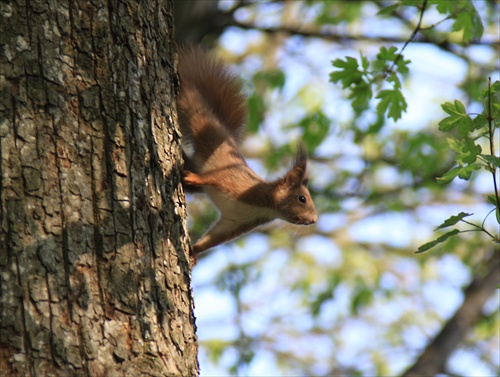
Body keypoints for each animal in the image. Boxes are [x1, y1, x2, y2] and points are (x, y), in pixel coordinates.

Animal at [176, 45, 316, 262]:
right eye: (302, 199)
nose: (314, 220)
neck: (267, 204)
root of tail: (226, 132)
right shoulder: (237, 185)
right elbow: (215, 178)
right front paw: (196, 178)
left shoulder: (237, 221)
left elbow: (215, 236)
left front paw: (194, 251)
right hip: (203, 124)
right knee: (192, 101)